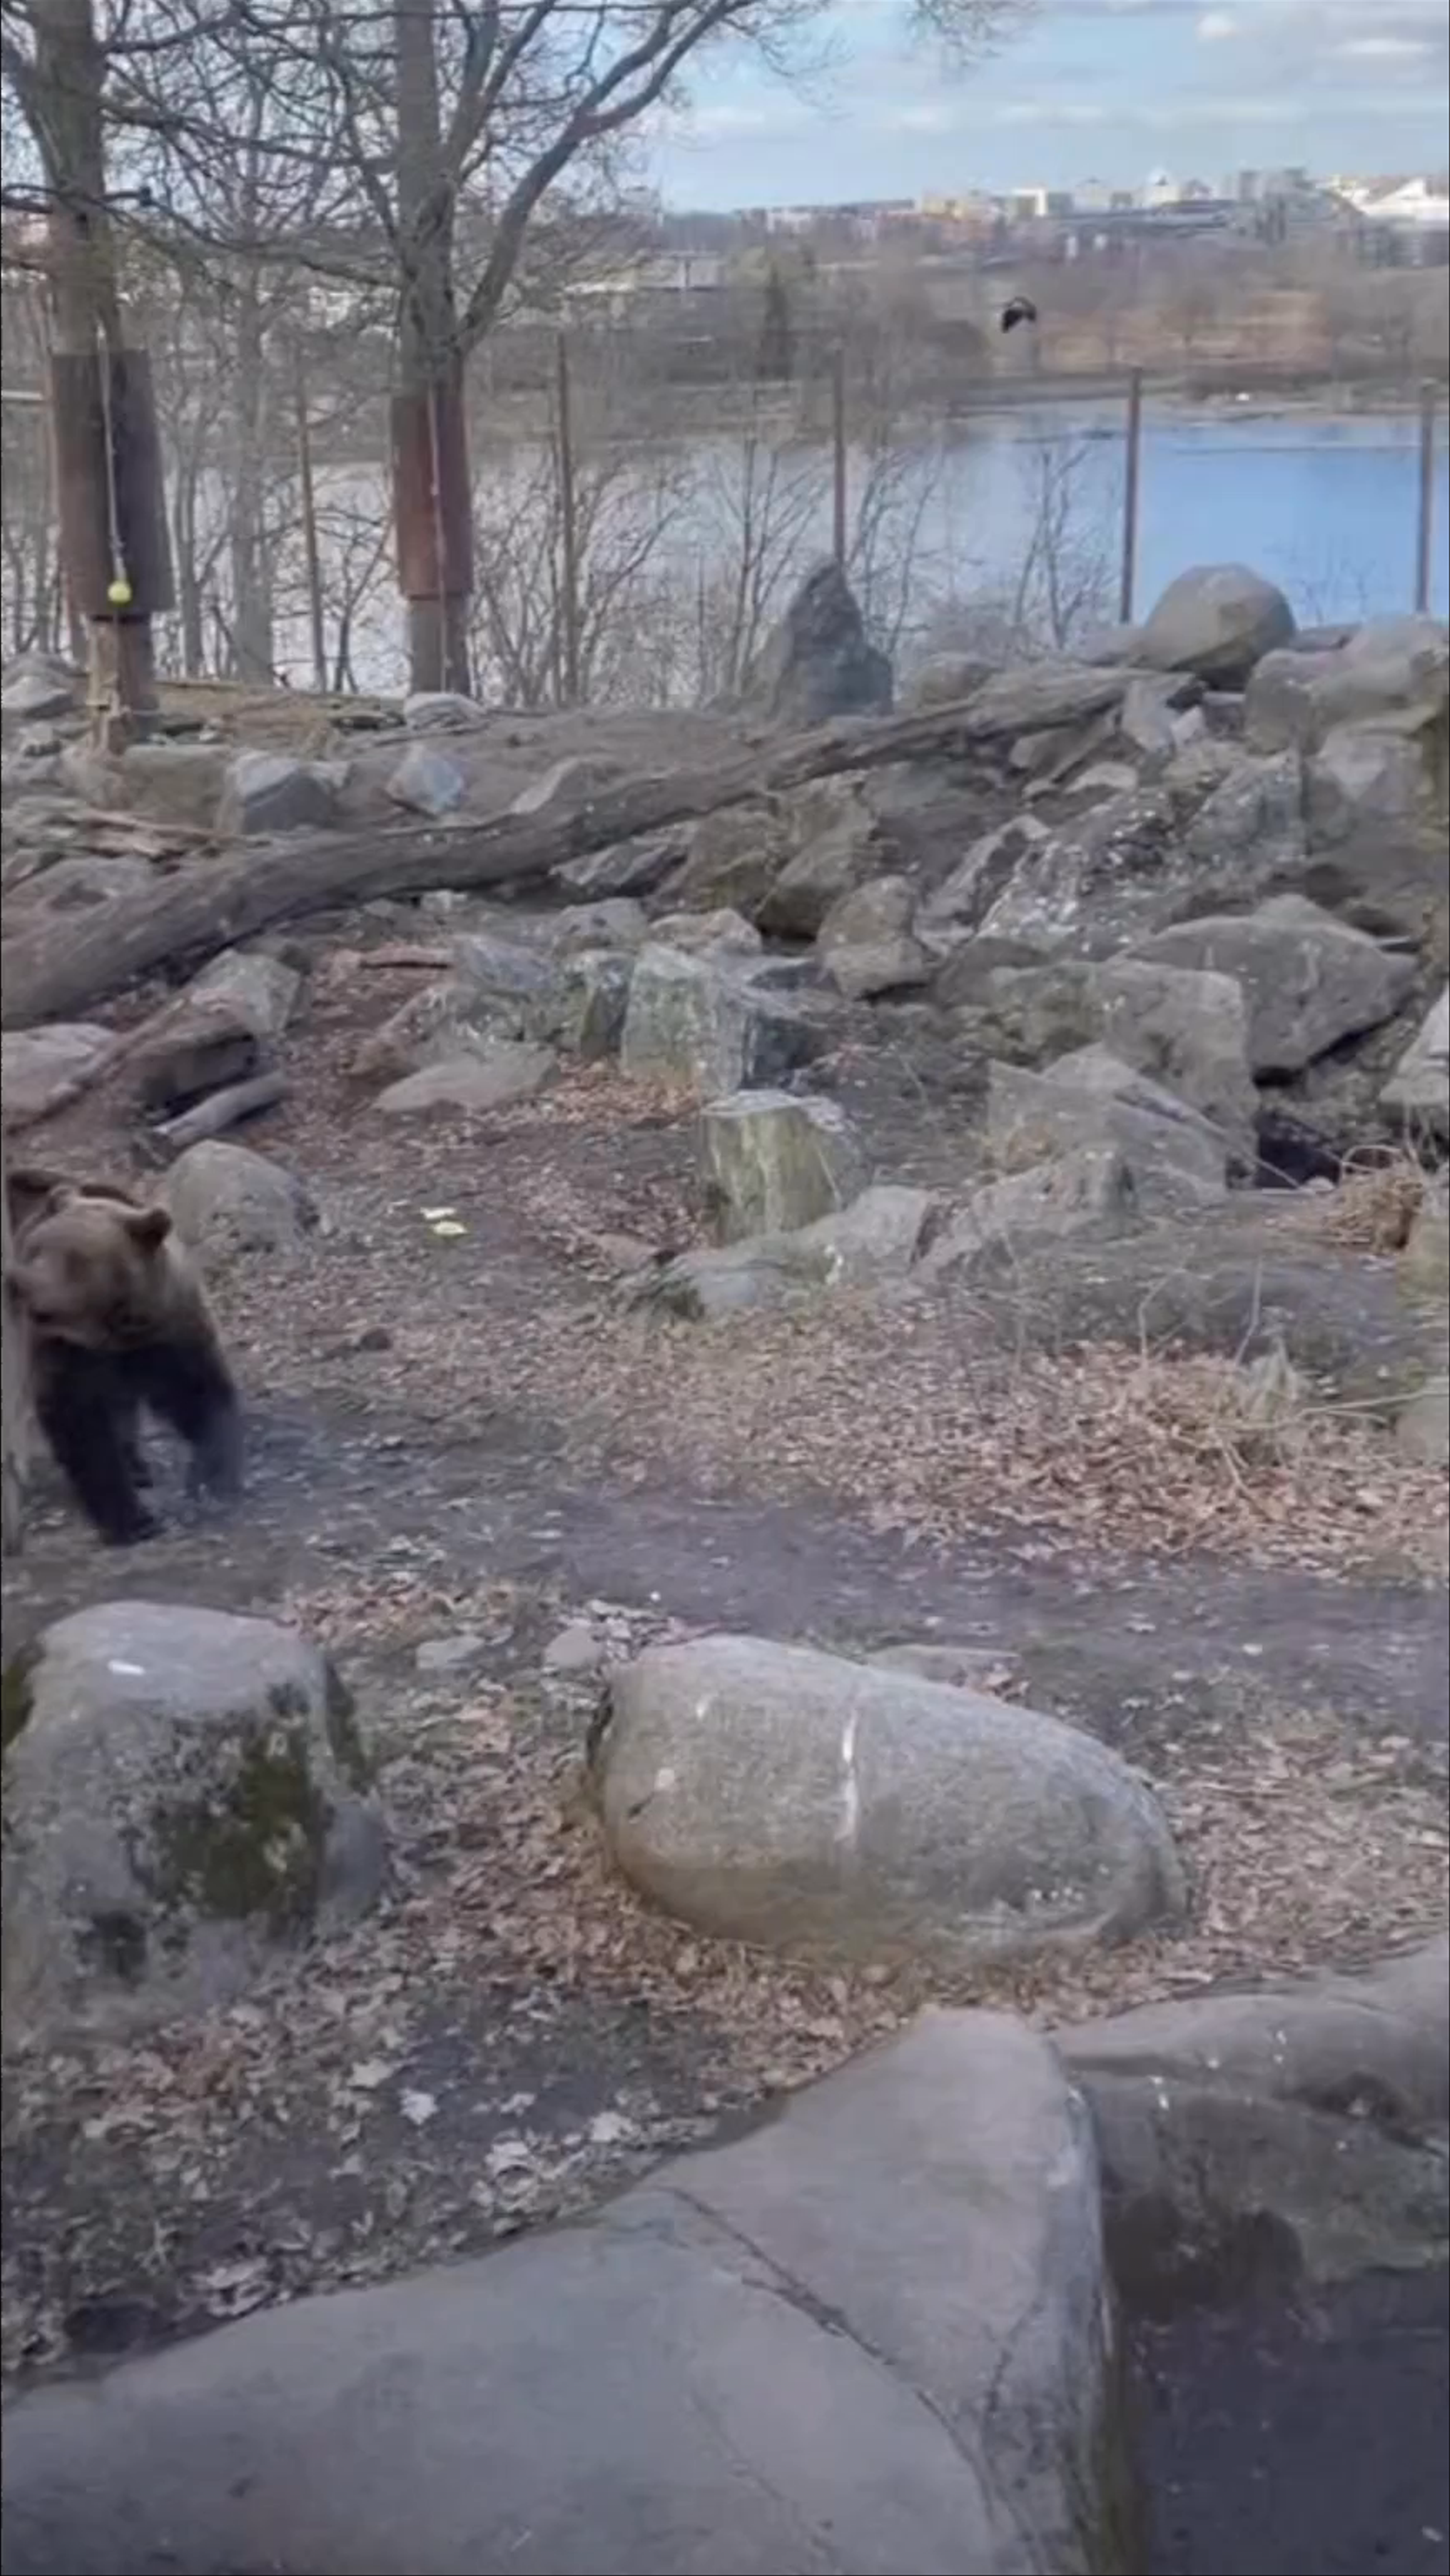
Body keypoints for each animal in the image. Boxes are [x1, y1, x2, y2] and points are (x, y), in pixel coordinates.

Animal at [4, 1164, 243, 1546]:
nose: (19, 1284)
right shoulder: (66, 1354)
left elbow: (198, 1393)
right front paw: (133, 1520)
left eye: (73, 1259)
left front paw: (213, 1478)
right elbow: (83, 1425)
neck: (113, 1330)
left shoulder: (168, 1330)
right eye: (35, 1249)